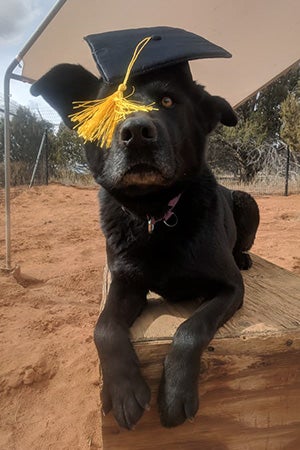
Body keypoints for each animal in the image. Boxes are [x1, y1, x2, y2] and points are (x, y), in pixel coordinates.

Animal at [31, 60, 258, 428]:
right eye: (109, 108)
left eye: (167, 101)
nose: (136, 132)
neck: (154, 214)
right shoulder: (126, 284)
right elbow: (104, 327)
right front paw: (125, 390)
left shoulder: (230, 288)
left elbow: (191, 327)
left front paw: (176, 392)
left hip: (247, 201)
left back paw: (244, 257)